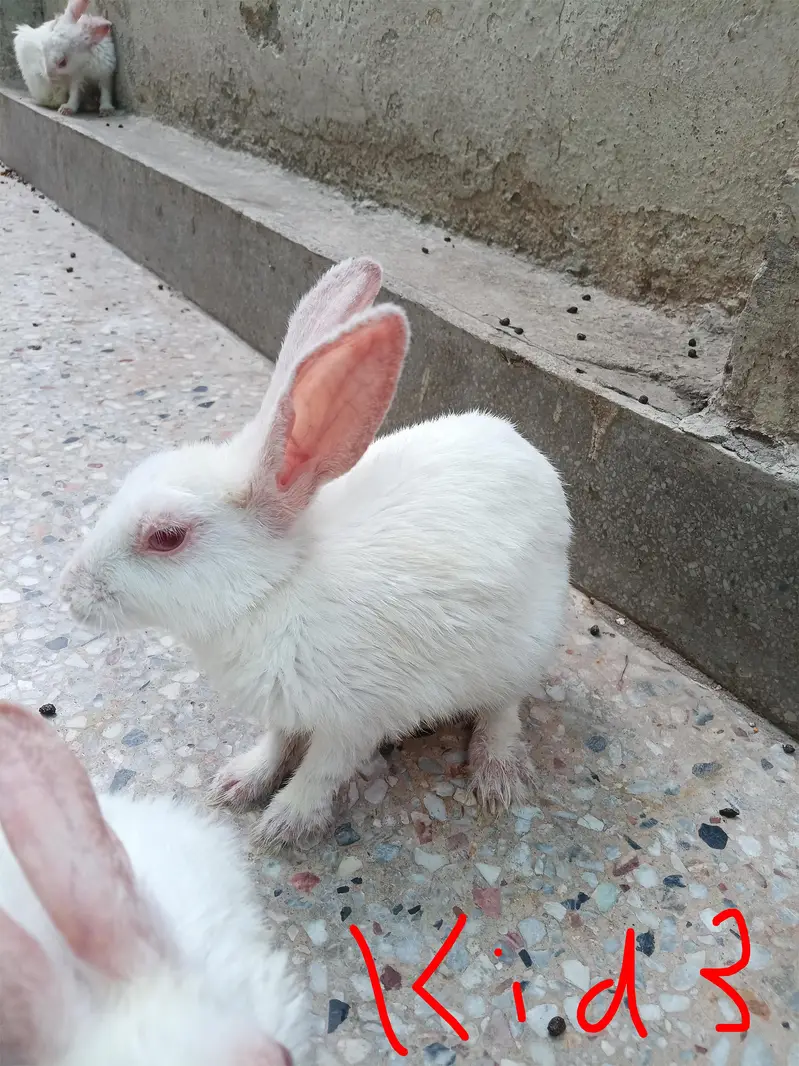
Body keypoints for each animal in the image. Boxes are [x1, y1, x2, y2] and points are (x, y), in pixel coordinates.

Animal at [60, 255, 572, 850]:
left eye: (167, 536)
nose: (68, 593)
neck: (273, 593)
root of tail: (528, 453)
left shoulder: (356, 720)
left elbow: (322, 770)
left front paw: (281, 826)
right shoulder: (288, 709)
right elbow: (279, 743)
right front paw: (238, 782)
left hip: (522, 651)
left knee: (503, 710)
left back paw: (497, 777)